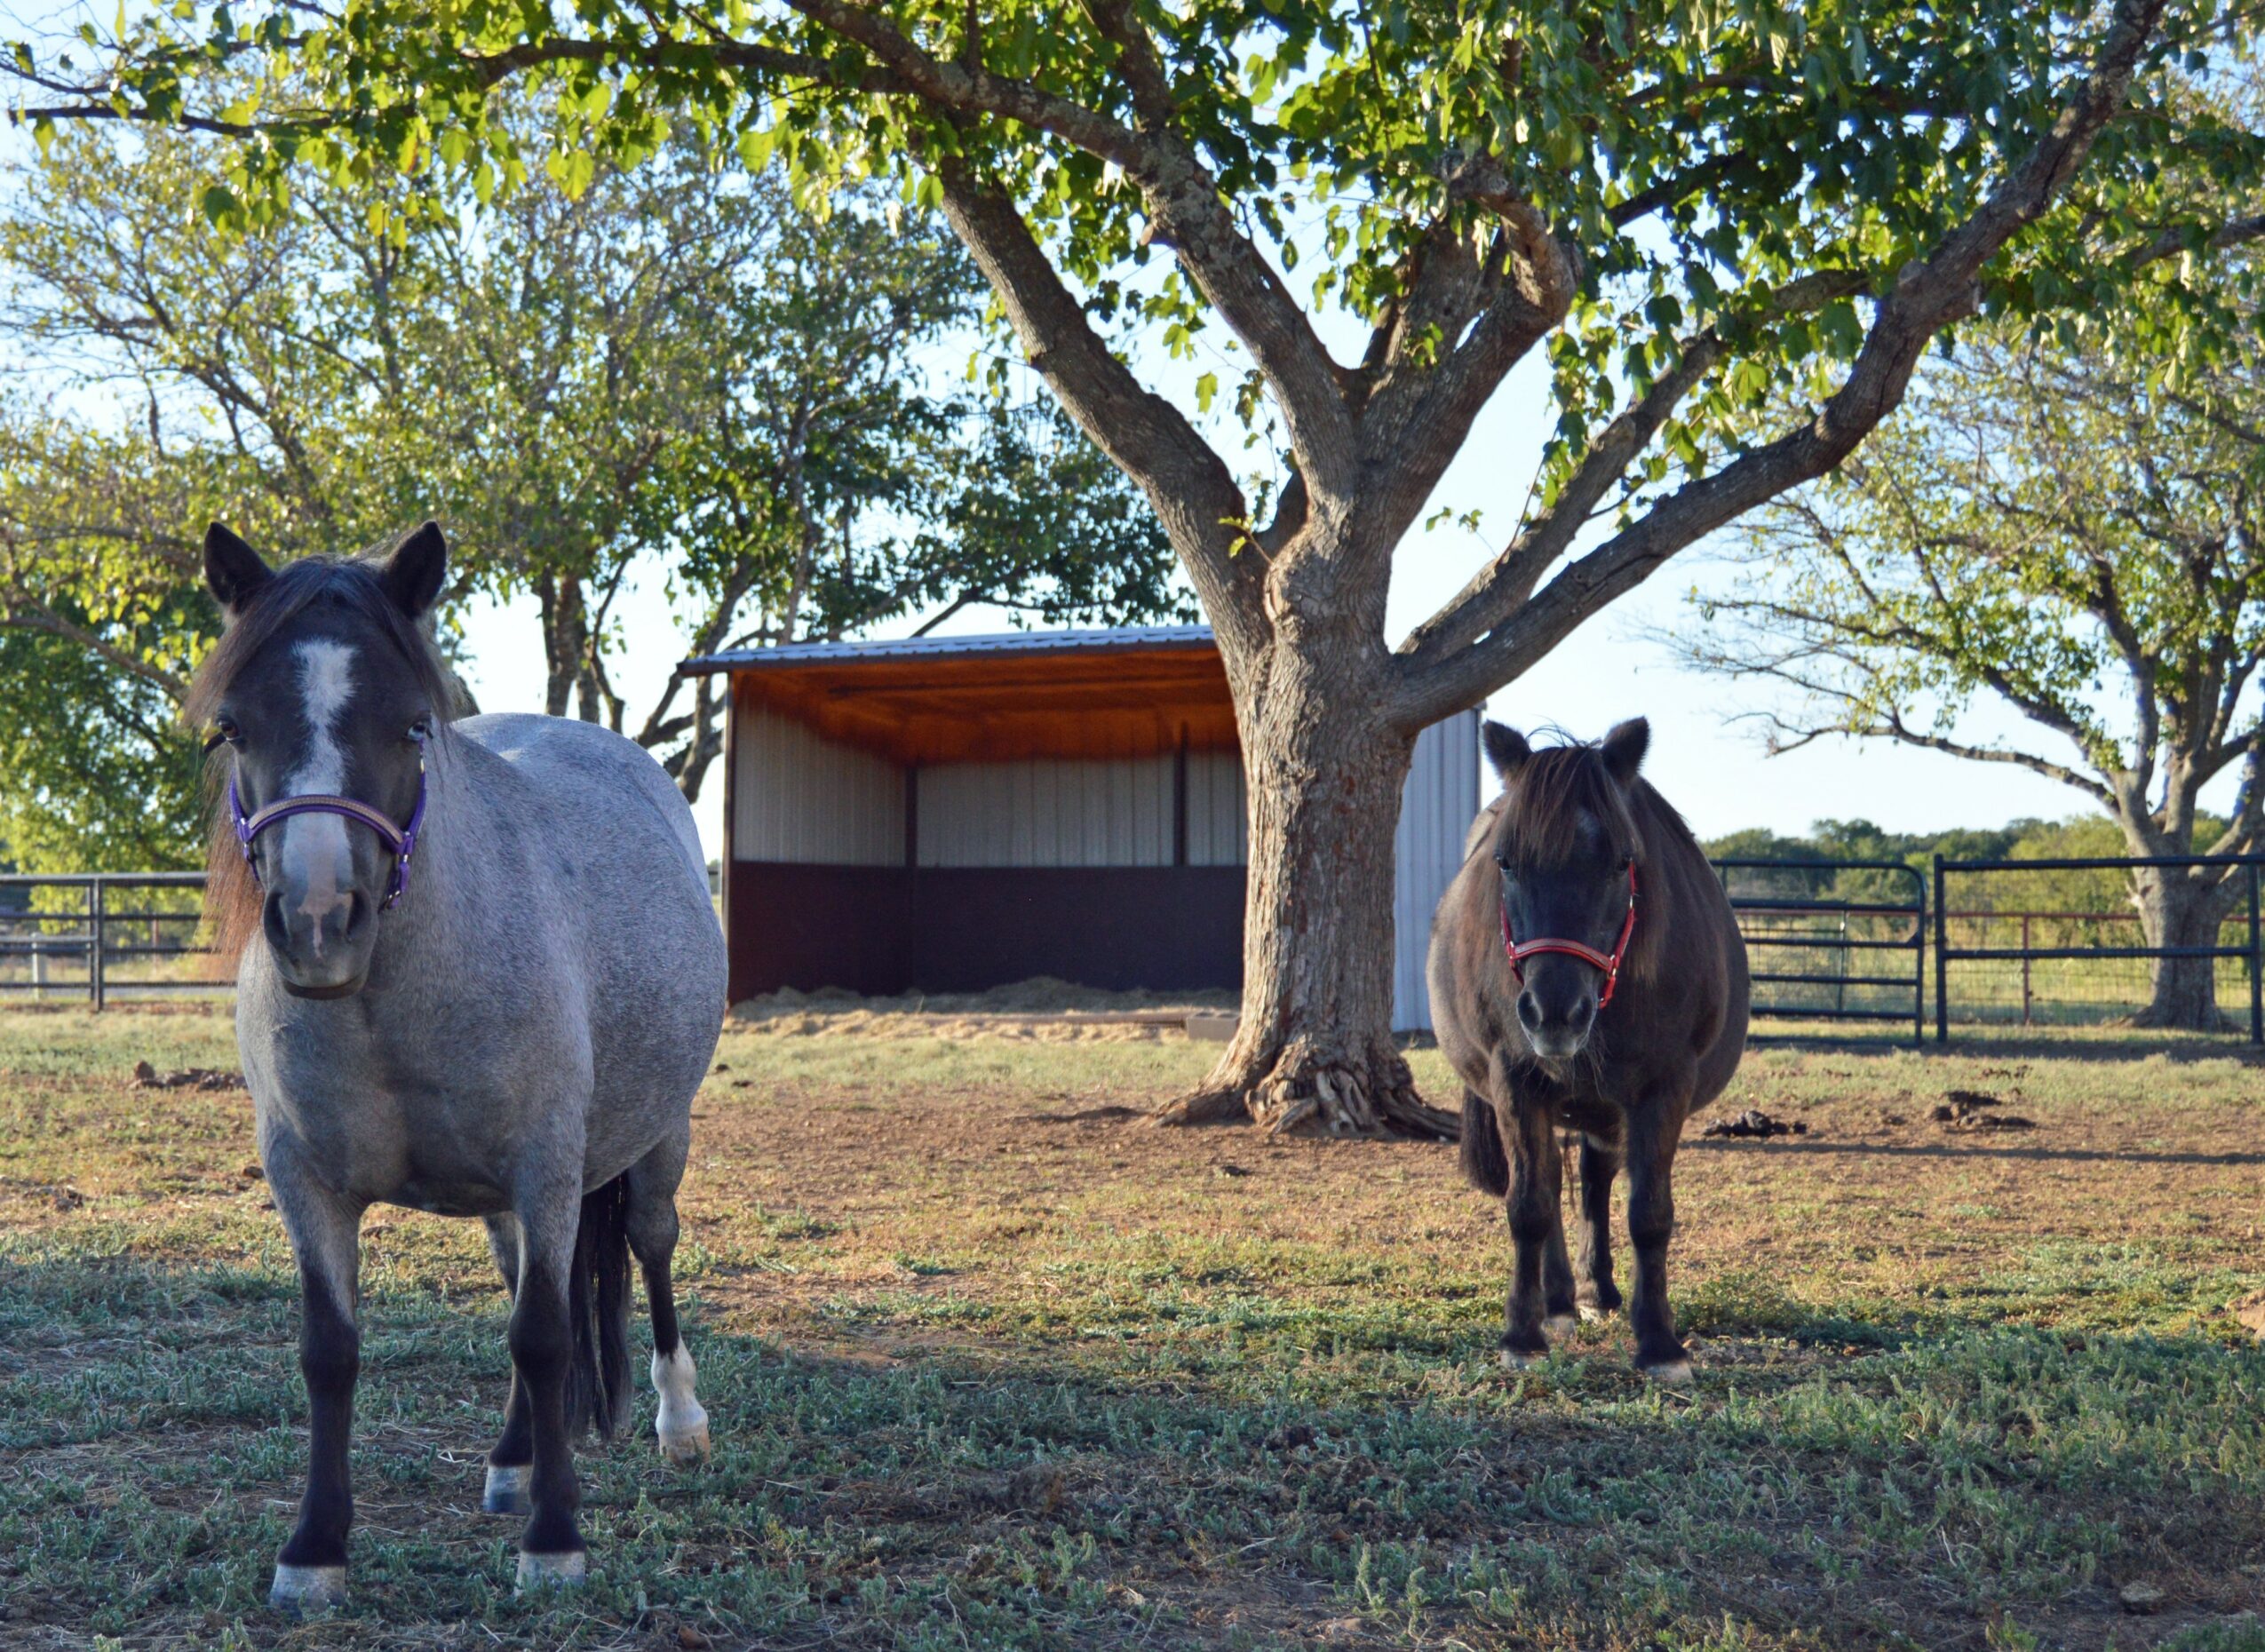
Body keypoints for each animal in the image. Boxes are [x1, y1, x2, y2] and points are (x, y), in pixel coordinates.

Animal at [186, 522, 728, 1609]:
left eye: (409, 727)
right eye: (233, 727)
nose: (320, 922)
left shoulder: (548, 1167)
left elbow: (545, 1335)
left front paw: (555, 1540)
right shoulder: (304, 1182)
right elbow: (331, 1352)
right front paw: (315, 1548)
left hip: (657, 1141)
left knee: (649, 1247)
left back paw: (678, 1421)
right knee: (523, 1278)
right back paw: (515, 1460)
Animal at [1427, 718, 1748, 1382]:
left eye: (1621, 862)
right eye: (1506, 862)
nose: (1554, 1012)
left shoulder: (1663, 1087)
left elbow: (1648, 1213)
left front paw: (1660, 1342)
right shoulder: (1515, 1081)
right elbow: (1529, 1204)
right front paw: (1522, 1334)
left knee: (1596, 1179)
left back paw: (1597, 1292)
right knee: (1550, 1182)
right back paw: (1557, 1303)